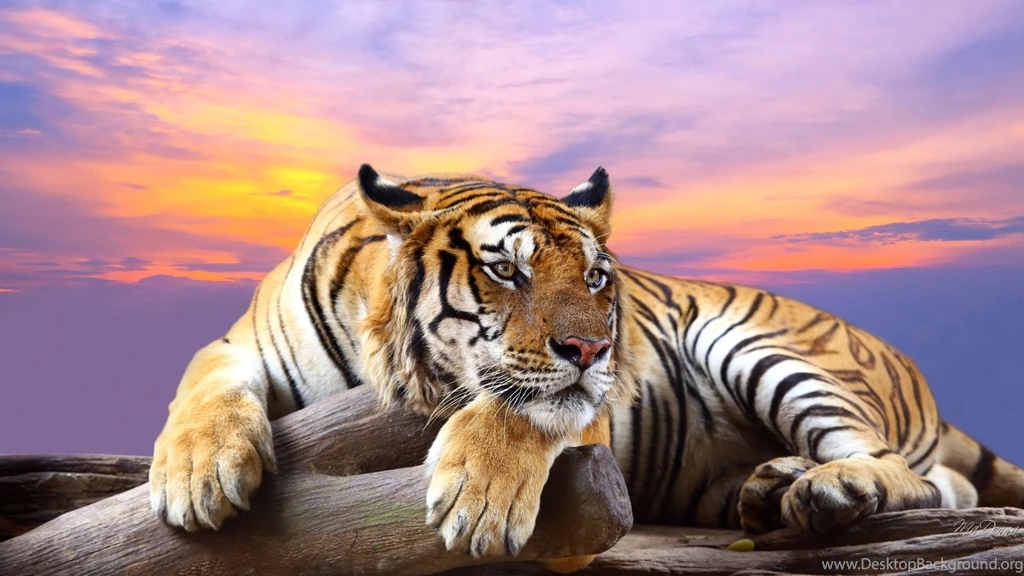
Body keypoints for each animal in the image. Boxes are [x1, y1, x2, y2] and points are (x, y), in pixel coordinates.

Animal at [150, 164, 1024, 572]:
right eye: (507, 270)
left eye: (599, 277)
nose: (596, 350)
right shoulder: (239, 344)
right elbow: (201, 383)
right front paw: (197, 478)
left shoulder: (578, 423)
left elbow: (522, 406)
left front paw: (479, 502)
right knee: (947, 484)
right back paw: (773, 486)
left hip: (762, 347)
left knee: (904, 472)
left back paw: (826, 489)